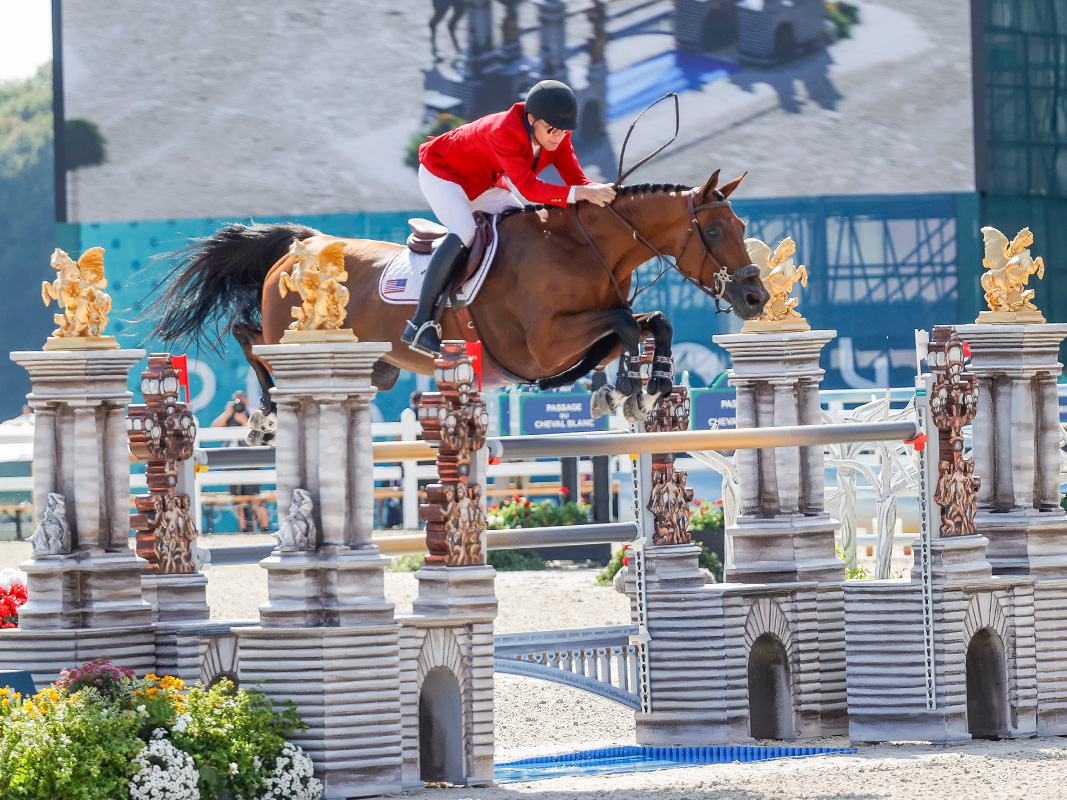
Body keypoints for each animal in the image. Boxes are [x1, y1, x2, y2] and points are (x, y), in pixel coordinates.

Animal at [148, 169, 769, 435]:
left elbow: (651, 321)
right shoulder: (543, 346)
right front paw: (627, 390)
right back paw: (267, 413)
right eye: (715, 231)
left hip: (360, 361)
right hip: (292, 337)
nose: (756, 295)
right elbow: (625, 322)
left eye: (742, 227)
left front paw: (645, 386)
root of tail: (301, 245)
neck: (584, 248)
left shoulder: (571, 338)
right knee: (249, 338)